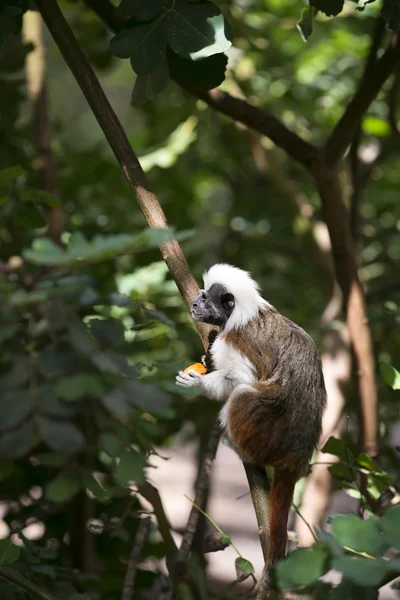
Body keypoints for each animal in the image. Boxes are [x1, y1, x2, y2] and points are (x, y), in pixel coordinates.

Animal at [177, 264, 326, 568]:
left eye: (206, 299)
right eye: (200, 295)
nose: (195, 304)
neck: (241, 315)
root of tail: (297, 457)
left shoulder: (236, 341)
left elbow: (241, 379)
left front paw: (199, 383)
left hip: (267, 431)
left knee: (244, 395)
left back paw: (240, 448)